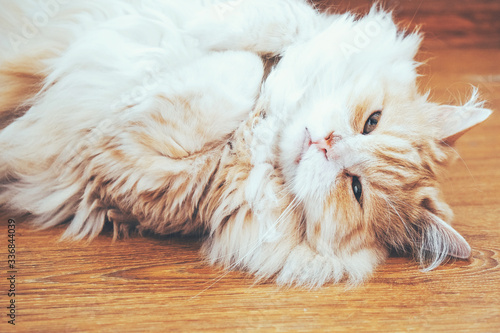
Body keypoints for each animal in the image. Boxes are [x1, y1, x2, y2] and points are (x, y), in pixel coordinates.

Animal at [0, 0, 492, 286]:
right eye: (371, 122)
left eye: (355, 190)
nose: (325, 144)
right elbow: (287, 27)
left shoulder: (135, 173)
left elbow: (241, 72)